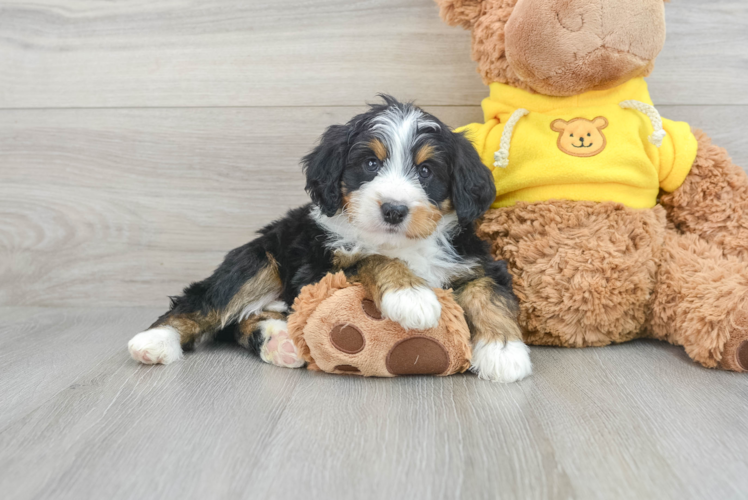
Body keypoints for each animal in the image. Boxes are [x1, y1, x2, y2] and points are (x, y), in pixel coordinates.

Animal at [130, 96, 536, 382]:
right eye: (370, 164)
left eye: (425, 171)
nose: (394, 209)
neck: (403, 242)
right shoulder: (320, 270)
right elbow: (373, 257)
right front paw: (411, 295)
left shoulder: (476, 261)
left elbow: (488, 295)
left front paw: (504, 352)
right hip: (259, 259)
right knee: (205, 302)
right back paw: (154, 341)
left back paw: (280, 341)